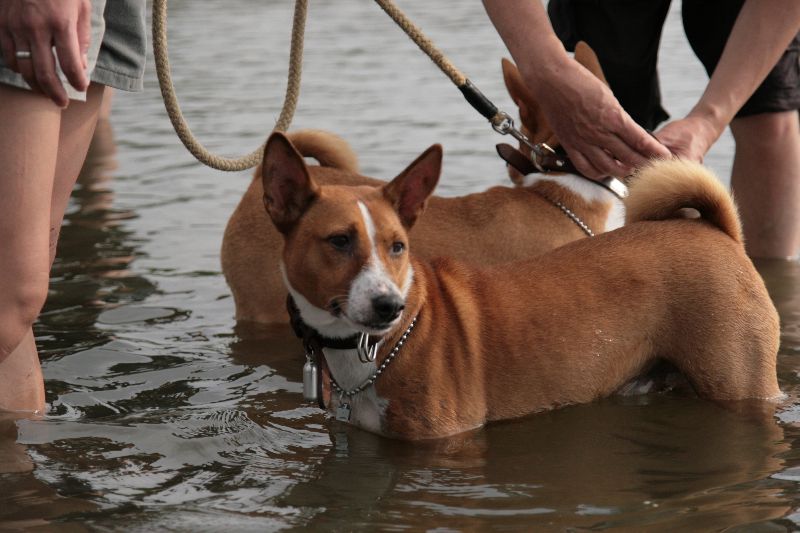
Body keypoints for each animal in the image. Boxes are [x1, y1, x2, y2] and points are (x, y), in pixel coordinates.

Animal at [262, 131, 781, 440]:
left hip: (740, 383)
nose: (389, 305)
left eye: (398, 246)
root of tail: (717, 231)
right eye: (339, 240)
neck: (374, 349)